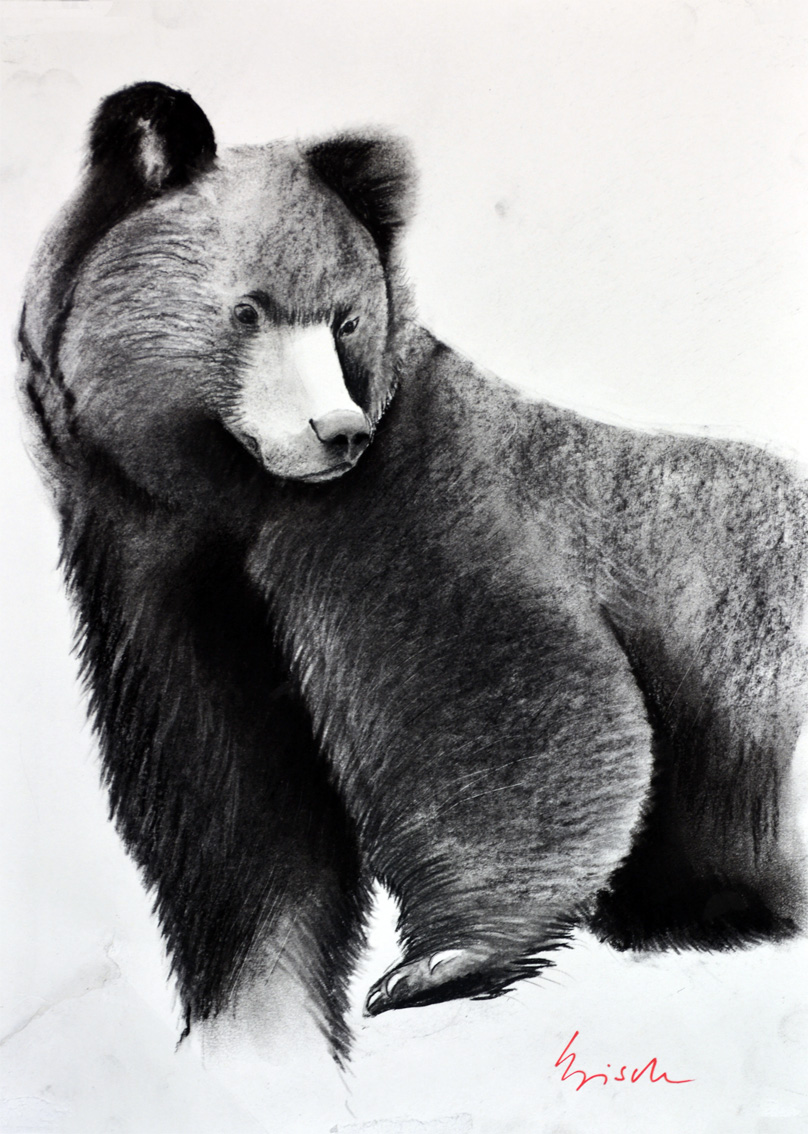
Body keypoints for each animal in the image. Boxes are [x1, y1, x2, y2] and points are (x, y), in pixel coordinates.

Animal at [18, 82, 808, 1061]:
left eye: (346, 318)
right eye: (249, 310)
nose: (337, 432)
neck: (236, 501)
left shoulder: (404, 511)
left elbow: (499, 700)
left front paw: (438, 960)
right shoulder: (161, 583)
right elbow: (233, 819)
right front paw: (255, 1009)